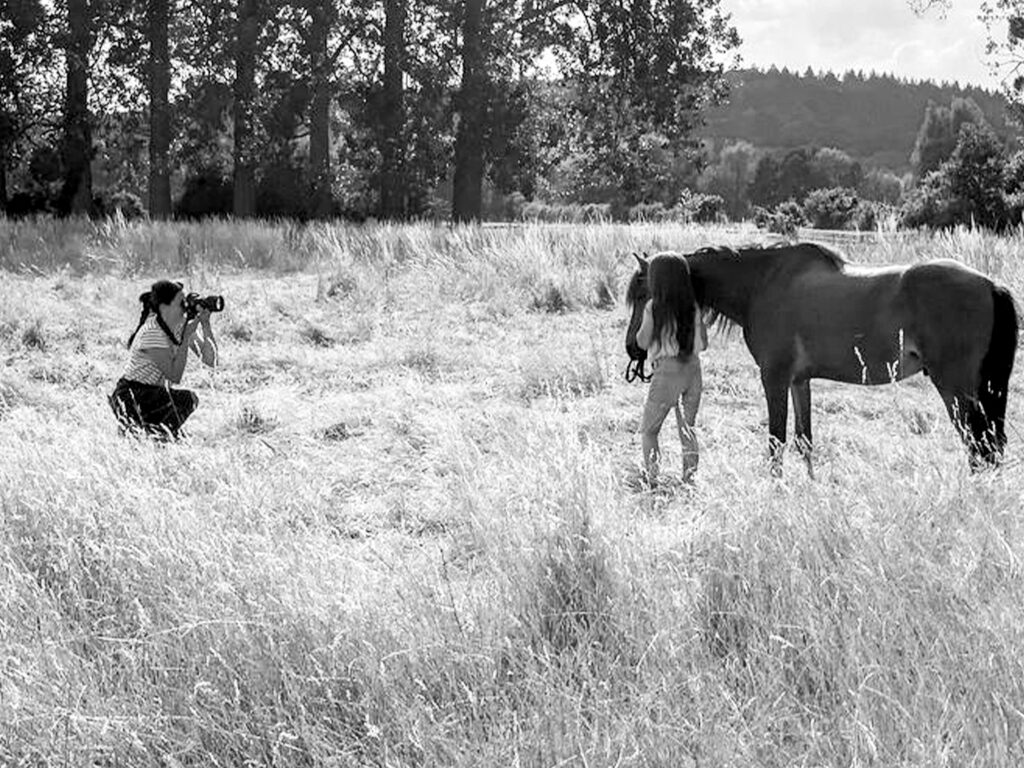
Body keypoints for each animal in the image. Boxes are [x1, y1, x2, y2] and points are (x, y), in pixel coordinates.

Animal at [622, 244, 1015, 475]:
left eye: (643, 295)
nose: (632, 349)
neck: (762, 284)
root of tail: (989, 285)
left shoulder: (774, 377)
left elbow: (776, 439)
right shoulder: (800, 380)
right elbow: (804, 439)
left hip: (956, 390)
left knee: (979, 446)